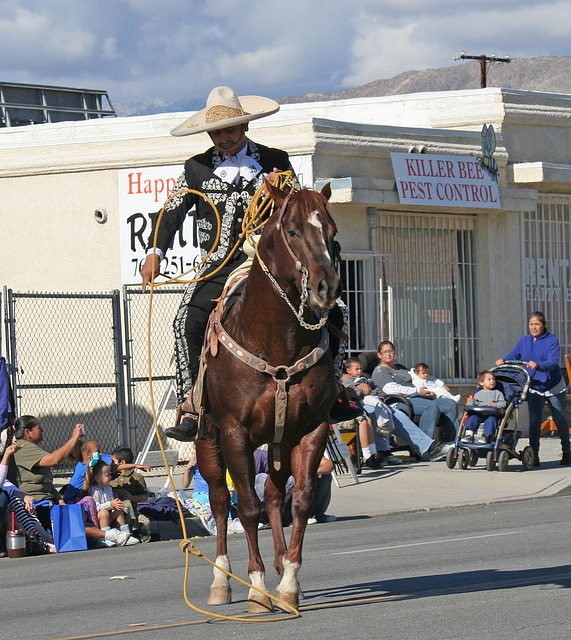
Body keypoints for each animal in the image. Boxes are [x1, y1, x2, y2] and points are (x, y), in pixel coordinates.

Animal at [197, 179, 340, 608]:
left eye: (333, 233)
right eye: (292, 230)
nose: (327, 286)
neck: (276, 341)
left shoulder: (311, 428)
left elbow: (301, 500)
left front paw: (288, 581)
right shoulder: (233, 433)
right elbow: (245, 506)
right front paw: (257, 586)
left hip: (279, 441)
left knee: (276, 498)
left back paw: (281, 573)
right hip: (207, 440)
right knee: (220, 501)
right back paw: (222, 579)